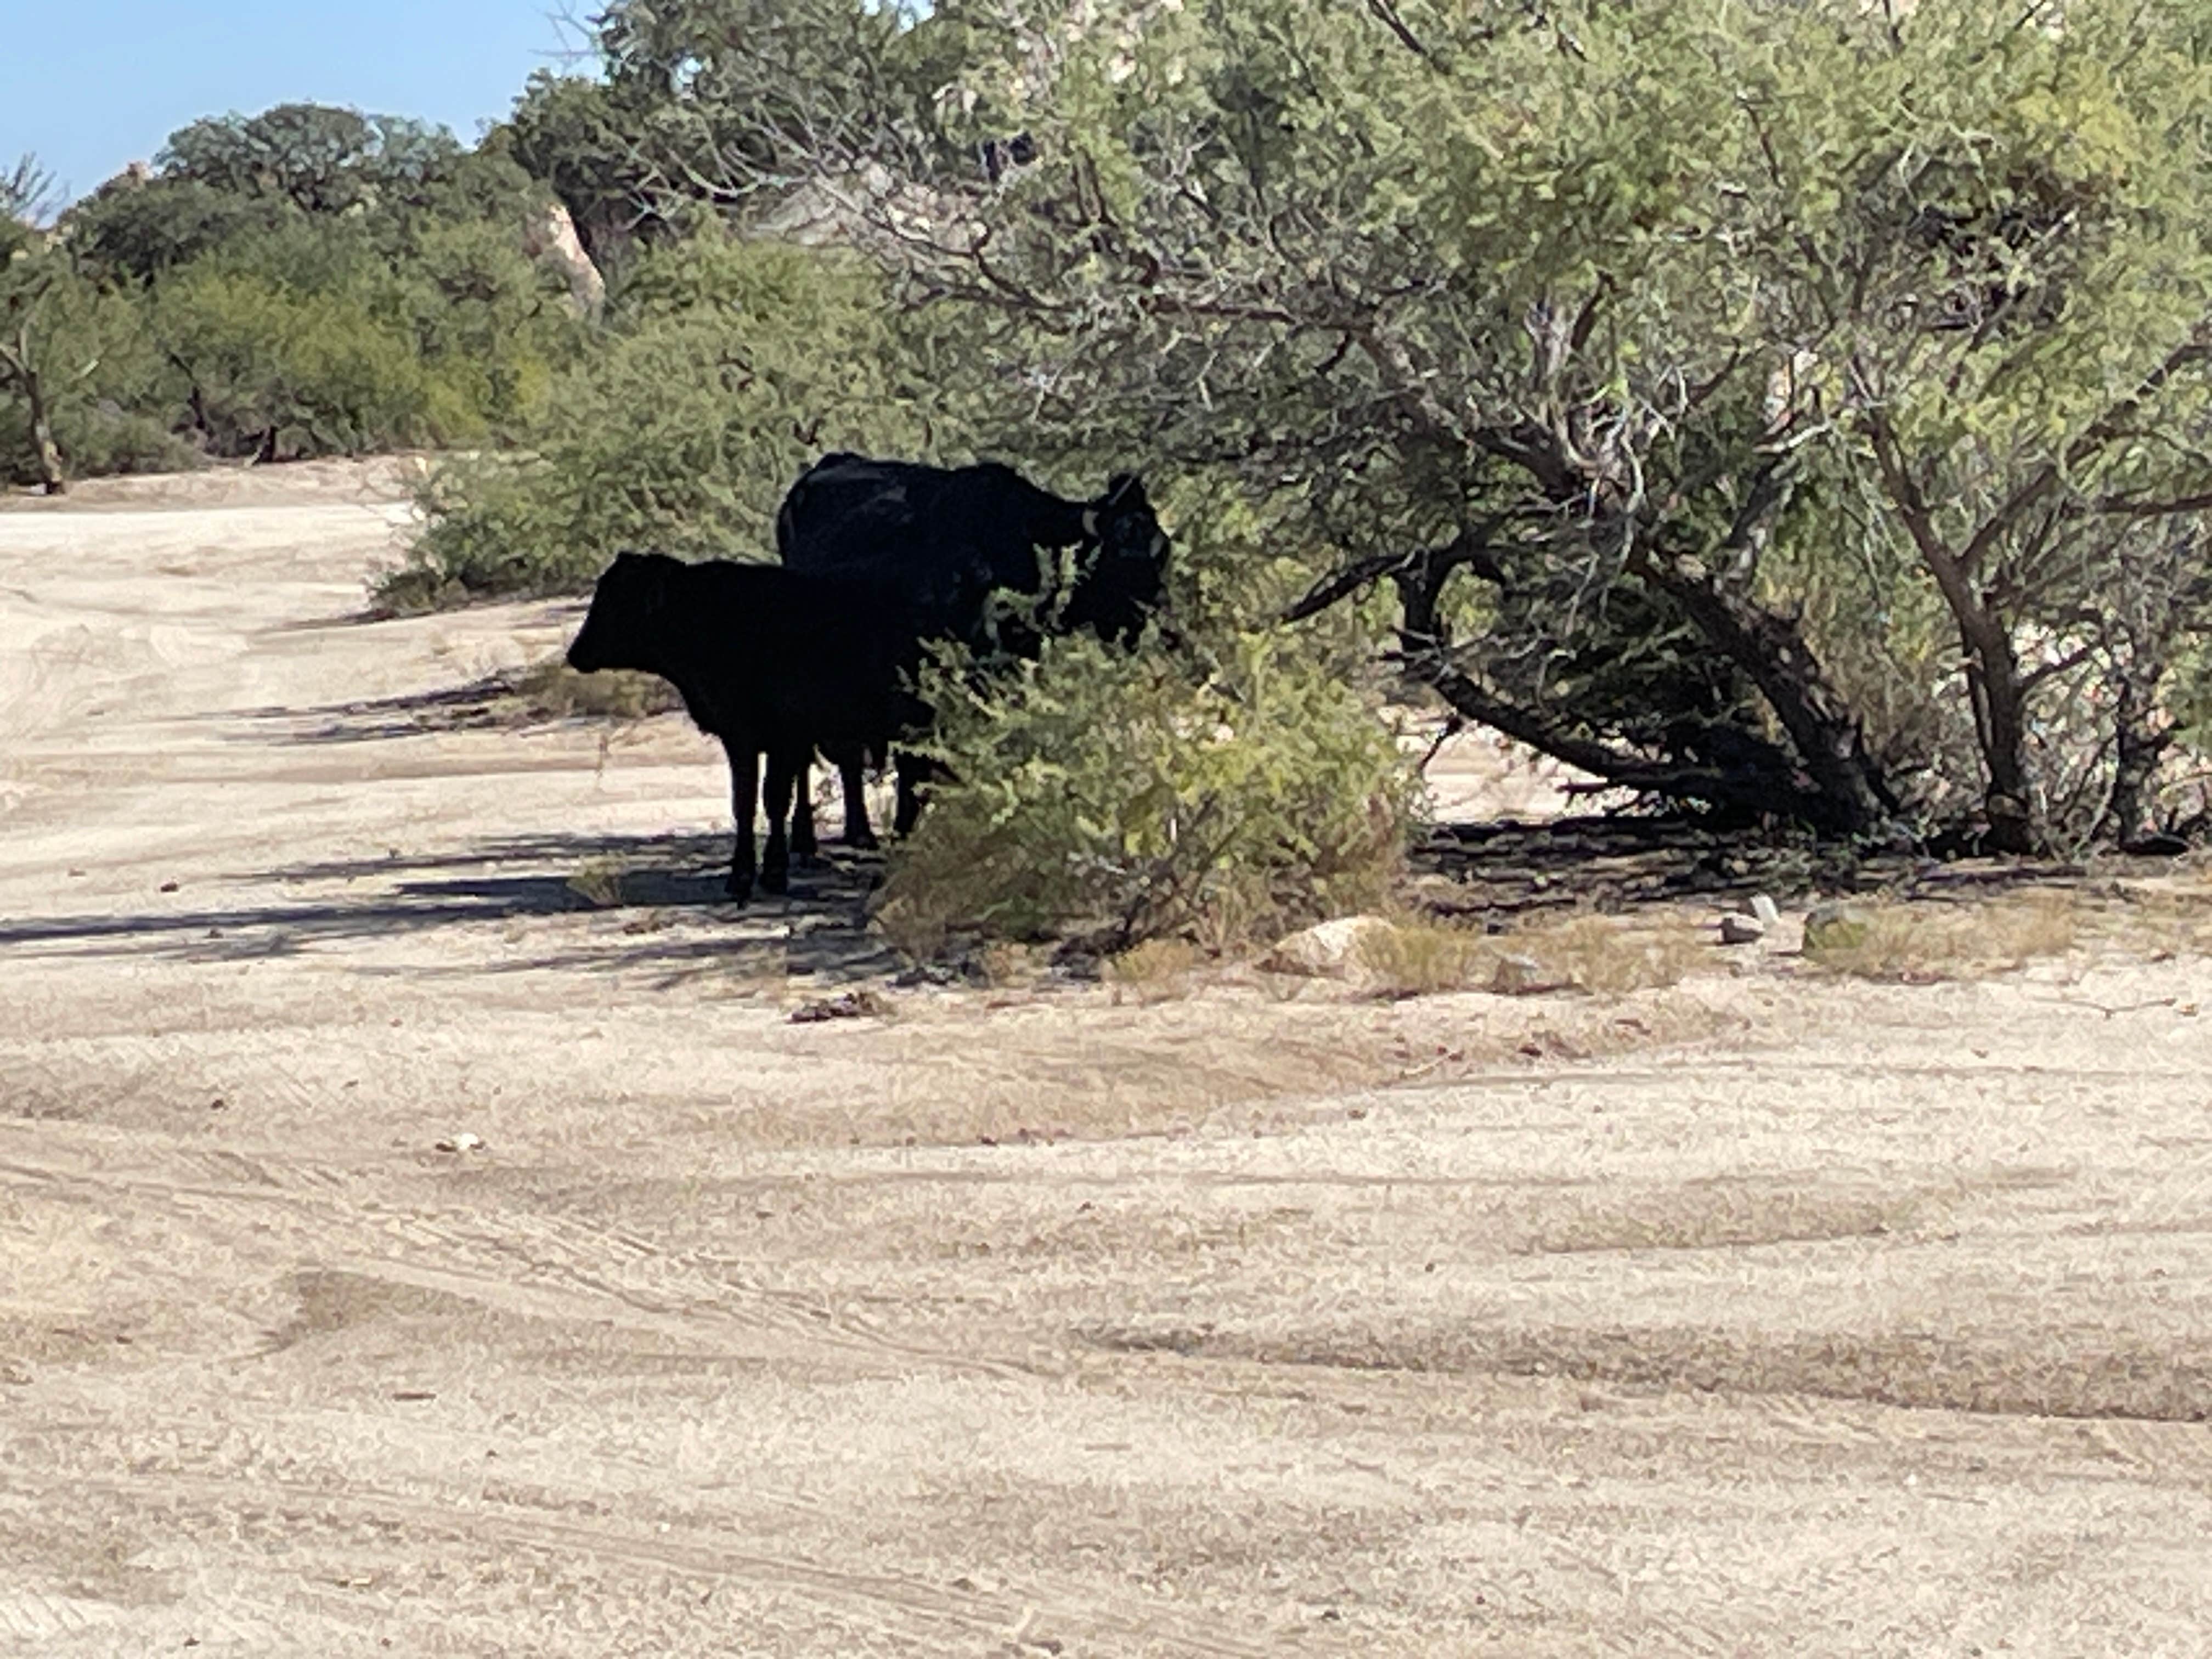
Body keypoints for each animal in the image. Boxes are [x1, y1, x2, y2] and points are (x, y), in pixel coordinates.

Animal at [571, 553, 924, 902]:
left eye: (618, 600)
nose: (575, 652)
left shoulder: (785, 738)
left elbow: (774, 799)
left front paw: (772, 872)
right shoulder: (740, 738)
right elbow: (744, 801)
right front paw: (742, 875)